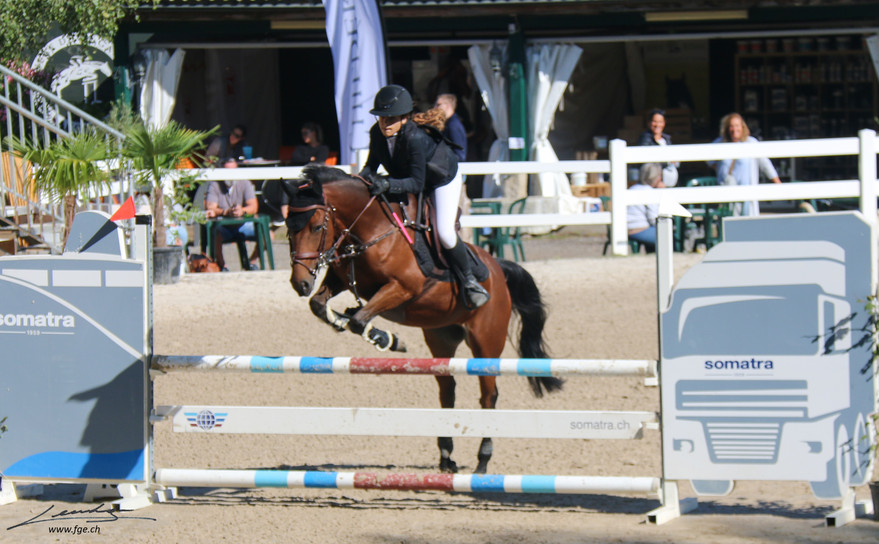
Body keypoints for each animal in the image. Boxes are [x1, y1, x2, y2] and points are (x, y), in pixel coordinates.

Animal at [283, 165, 563, 474]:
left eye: (316, 227)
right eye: (288, 228)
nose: (299, 284)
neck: (371, 230)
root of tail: (498, 269)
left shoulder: (402, 288)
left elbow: (359, 319)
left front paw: (388, 339)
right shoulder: (342, 280)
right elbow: (319, 305)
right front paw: (350, 323)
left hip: (486, 343)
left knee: (488, 395)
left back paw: (483, 460)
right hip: (441, 338)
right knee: (447, 391)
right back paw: (446, 456)